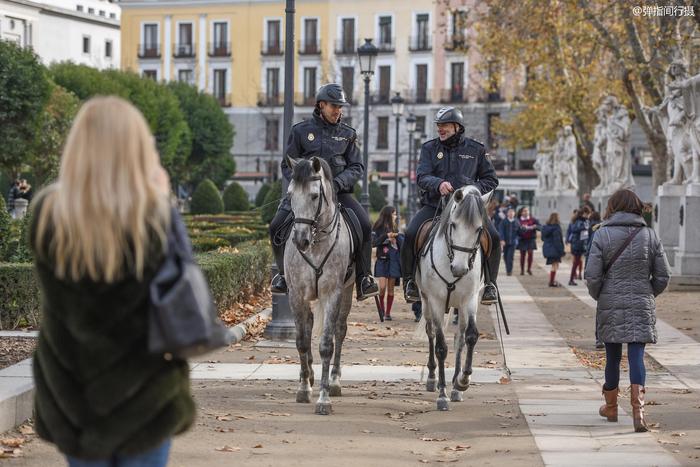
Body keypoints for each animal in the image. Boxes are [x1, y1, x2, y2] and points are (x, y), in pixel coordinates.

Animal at [284, 157, 356, 416]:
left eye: (315, 196)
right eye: (290, 194)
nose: (300, 240)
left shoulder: (332, 293)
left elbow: (326, 345)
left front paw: (324, 399)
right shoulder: (296, 294)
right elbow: (301, 341)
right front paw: (304, 387)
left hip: (347, 292)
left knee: (339, 331)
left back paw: (333, 381)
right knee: (307, 327)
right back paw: (308, 375)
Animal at [416, 185, 492, 412]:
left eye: (479, 229)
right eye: (453, 225)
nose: (459, 268)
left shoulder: (470, 299)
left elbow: (471, 337)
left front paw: (462, 382)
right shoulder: (436, 301)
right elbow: (441, 347)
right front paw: (442, 395)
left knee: (460, 337)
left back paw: (456, 388)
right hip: (426, 302)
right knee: (431, 332)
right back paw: (432, 378)